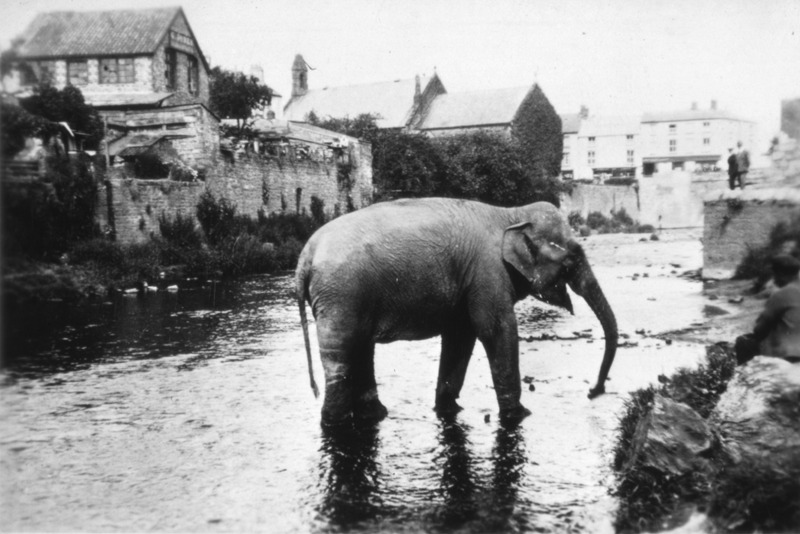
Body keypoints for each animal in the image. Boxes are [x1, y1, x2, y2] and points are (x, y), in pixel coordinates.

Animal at [296, 197, 616, 428]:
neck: (512, 214)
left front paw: (449, 409)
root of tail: (305, 255)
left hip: (347, 295)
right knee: (342, 354)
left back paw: (376, 415)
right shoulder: (488, 272)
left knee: (361, 348)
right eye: (572, 260)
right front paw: (520, 415)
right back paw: (335, 424)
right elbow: (496, 330)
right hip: (340, 294)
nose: (593, 391)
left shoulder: (469, 281)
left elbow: (461, 336)